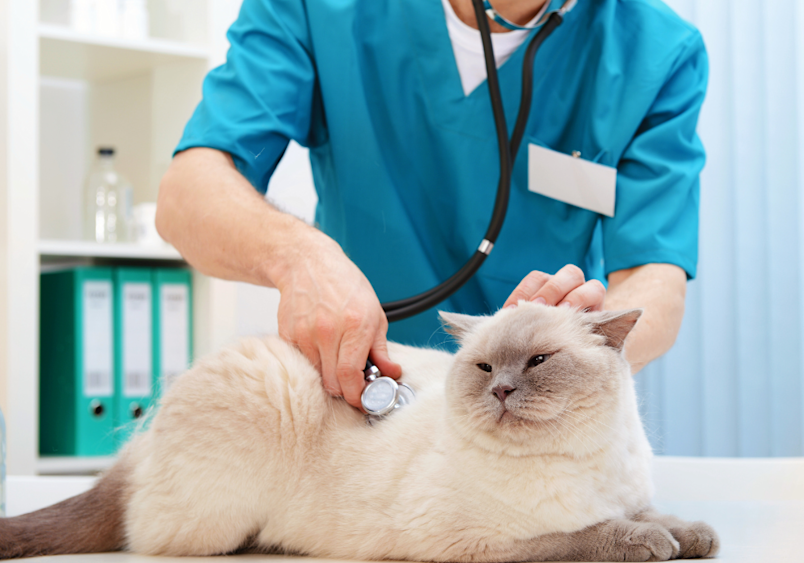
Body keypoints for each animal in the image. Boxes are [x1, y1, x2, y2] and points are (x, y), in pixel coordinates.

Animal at [0, 302, 716, 560]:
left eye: (538, 362)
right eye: (486, 367)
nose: (502, 390)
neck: (580, 457)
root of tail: (139, 441)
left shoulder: (627, 492)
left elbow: (660, 517)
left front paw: (692, 536)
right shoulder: (475, 542)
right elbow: (583, 536)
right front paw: (650, 544)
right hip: (221, 502)